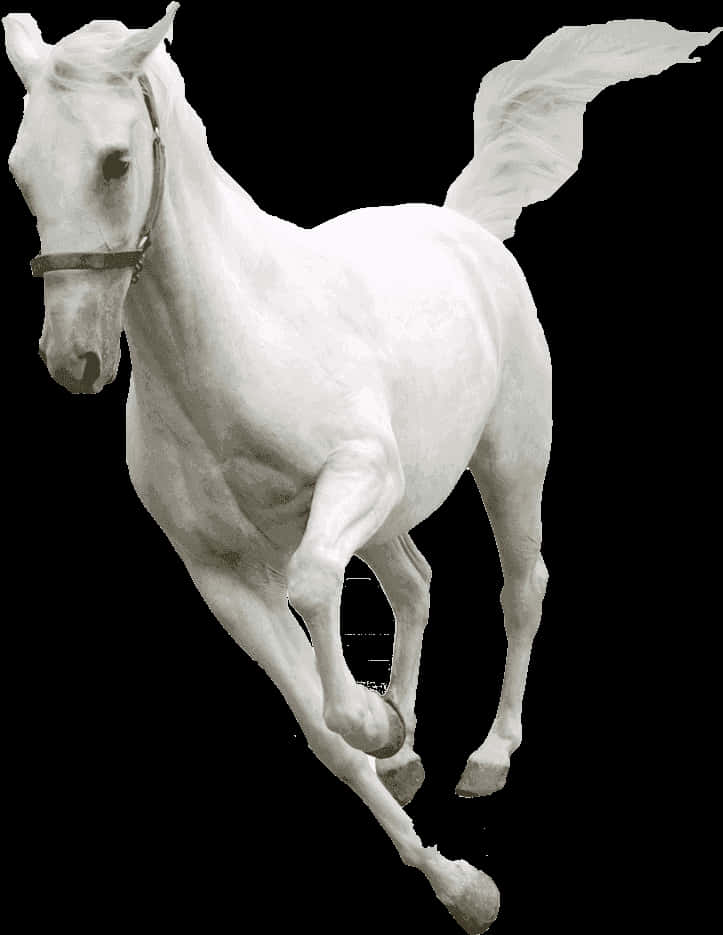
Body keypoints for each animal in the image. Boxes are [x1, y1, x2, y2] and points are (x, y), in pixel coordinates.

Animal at [4, 6, 720, 931]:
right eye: (22, 172)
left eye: (116, 161)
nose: (75, 360)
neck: (232, 345)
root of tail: (463, 227)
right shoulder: (221, 573)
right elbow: (323, 735)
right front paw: (455, 876)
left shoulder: (355, 478)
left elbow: (315, 588)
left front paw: (379, 729)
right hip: (391, 516)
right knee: (414, 583)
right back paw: (410, 744)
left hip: (507, 462)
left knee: (521, 588)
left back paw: (487, 756)